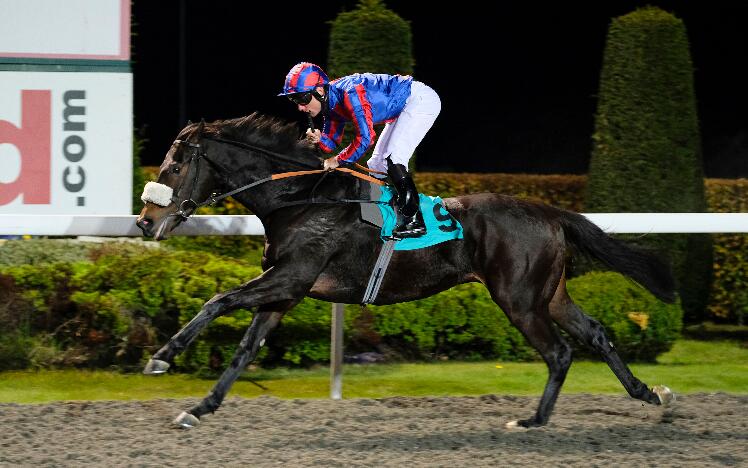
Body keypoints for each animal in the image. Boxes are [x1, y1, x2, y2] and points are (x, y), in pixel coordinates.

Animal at [136, 113, 676, 428]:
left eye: (176, 165)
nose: (145, 221)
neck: (302, 197)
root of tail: (551, 213)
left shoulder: (291, 277)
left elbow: (218, 300)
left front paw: (162, 357)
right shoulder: (287, 290)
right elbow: (245, 349)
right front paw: (199, 408)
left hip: (519, 299)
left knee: (560, 352)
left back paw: (533, 421)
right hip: (550, 294)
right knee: (596, 333)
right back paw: (651, 394)